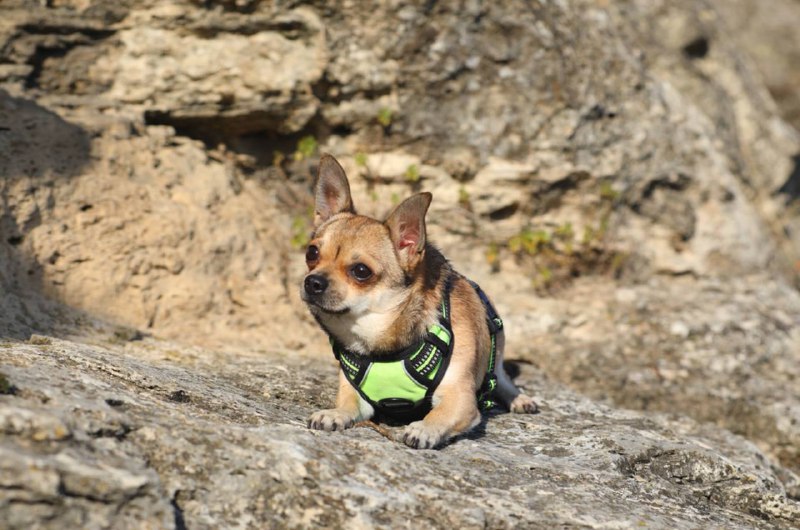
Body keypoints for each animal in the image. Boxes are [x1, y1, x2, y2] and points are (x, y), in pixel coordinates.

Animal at [304, 152, 536, 446]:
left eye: (361, 271)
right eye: (311, 253)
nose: (312, 282)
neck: (377, 340)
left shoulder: (460, 399)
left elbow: (439, 414)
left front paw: (424, 428)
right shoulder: (355, 393)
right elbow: (347, 405)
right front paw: (334, 413)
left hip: (498, 351)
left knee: (503, 378)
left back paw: (520, 399)